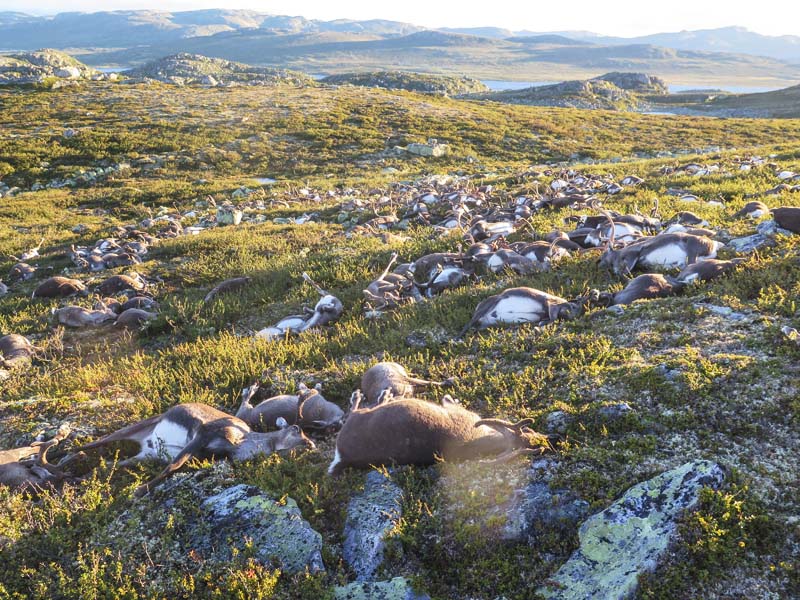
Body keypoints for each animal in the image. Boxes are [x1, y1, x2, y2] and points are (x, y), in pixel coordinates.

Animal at [79, 403, 316, 496]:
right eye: (297, 430)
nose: (311, 446)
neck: (242, 441)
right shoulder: (203, 434)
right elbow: (173, 466)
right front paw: (139, 489)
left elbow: (175, 465)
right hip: (138, 426)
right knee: (95, 443)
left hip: (146, 455)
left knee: (115, 463)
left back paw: (88, 474)